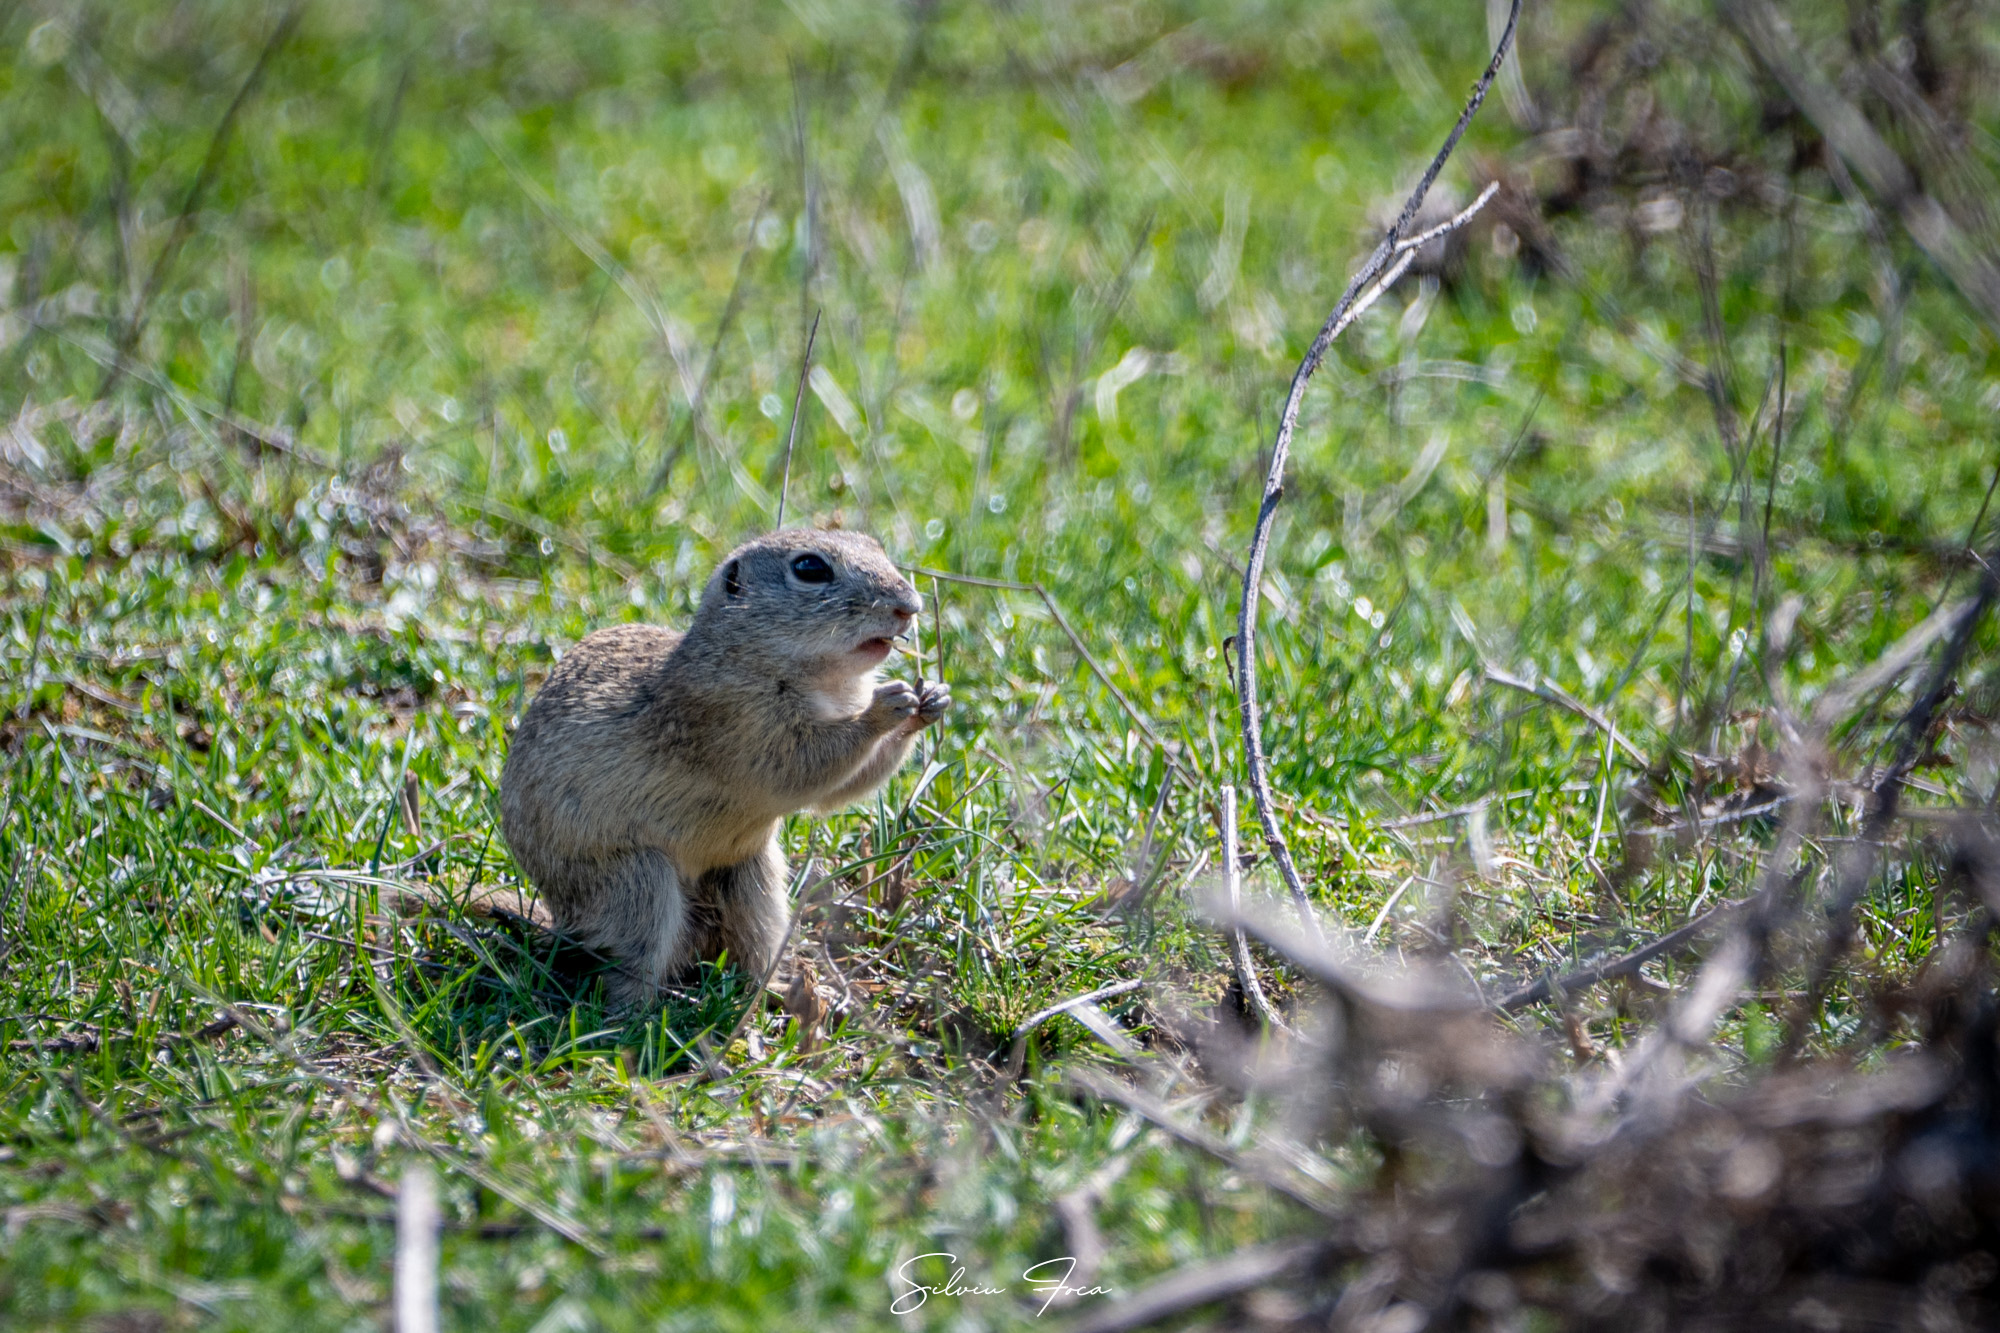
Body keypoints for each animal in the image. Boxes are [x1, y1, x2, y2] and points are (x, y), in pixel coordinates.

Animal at [499, 529, 949, 1011]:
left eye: (873, 544)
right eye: (810, 568)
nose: (909, 606)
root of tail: (560, 919)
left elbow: (843, 787)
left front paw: (931, 701)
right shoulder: (737, 720)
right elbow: (805, 767)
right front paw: (884, 707)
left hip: (752, 877)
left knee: (750, 944)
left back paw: (780, 991)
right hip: (634, 882)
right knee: (626, 962)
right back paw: (639, 1015)